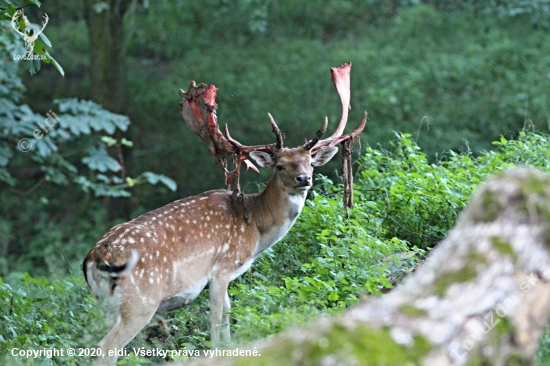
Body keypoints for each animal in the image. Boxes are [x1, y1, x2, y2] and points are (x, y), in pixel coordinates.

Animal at [83, 62, 366, 364]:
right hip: (140, 301)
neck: (255, 228)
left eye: (310, 163)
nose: (304, 179)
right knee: (105, 348)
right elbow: (217, 326)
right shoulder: (221, 269)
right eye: (280, 166)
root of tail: (95, 257)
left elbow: (229, 324)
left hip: (107, 306)